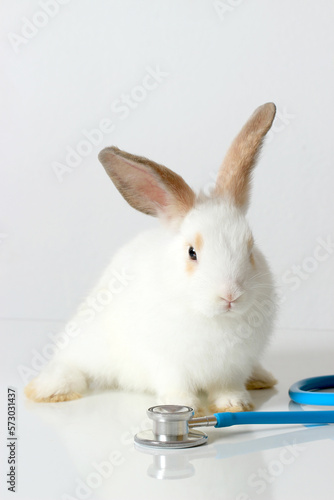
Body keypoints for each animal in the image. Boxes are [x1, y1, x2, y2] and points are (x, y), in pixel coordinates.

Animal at [25, 102, 276, 414]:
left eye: (250, 248)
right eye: (192, 252)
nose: (230, 296)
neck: (213, 317)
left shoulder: (232, 369)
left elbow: (226, 387)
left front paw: (234, 405)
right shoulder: (167, 364)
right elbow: (177, 387)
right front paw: (186, 408)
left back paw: (261, 379)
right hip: (86, 346)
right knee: (72, 365)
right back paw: (50, 391)